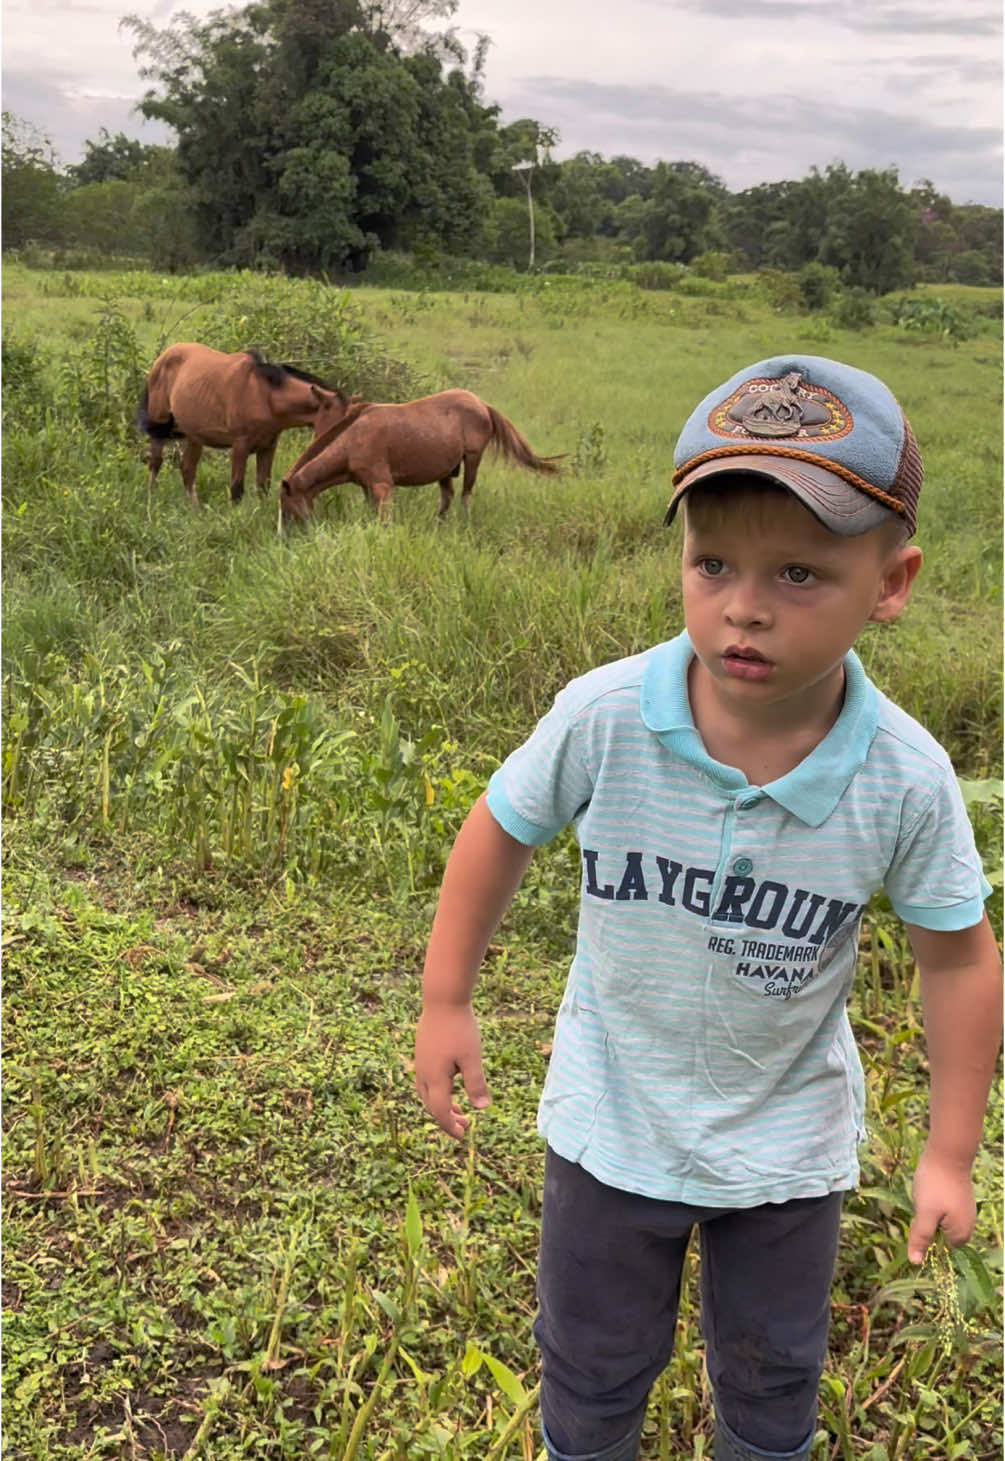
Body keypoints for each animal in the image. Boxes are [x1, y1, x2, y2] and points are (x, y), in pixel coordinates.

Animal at [137, 343, 347, 508]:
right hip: (159, 427)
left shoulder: (268, 447)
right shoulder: (240, 446)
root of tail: (162, 358)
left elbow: (263, 485)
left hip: (194, 436)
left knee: (187, 468)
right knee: (155, 463)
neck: (265, 395)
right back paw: (151, 501)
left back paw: (195, 509)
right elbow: (237, 489)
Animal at [279, 388, 560, 525]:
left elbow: (383, 523)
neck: (352, 440)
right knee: (447, 499)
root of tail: (482, 404)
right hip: (447, 470)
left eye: (286, 506)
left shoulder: (382, 487)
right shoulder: (367, 488)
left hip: (472, 460)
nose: (285, 536)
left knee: (465, 496)